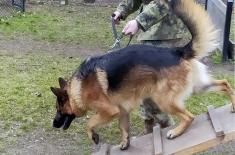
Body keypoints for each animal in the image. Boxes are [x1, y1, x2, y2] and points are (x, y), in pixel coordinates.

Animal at [50, 0, 235, 150]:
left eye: (59, 109)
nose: (53, 124)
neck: (78, 88)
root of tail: (177, 51)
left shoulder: (109, 111)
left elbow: (89, 123)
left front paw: (94, 136)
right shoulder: (122, 111)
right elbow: (124, 128)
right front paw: (125, 144)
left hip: (163, 100)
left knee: (189, 117)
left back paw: (175, 132)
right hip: (198, 87)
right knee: (225, 83)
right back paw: (233, 106)